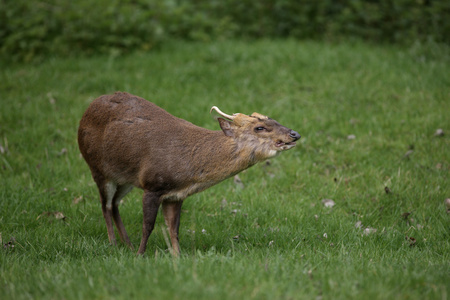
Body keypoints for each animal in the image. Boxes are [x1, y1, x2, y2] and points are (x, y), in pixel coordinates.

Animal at [78, 91, 302, 255]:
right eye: (259, 127)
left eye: (274, 120)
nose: (295, 134)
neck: (187, 171)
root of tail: (87, 109)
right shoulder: (152, 185)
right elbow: (148, 225)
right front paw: (141, 255)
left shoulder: (176, 195)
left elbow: (173, 228)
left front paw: (177, 257)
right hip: (97, 167)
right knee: (106, 205)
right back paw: (114, 244)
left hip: (125, 179)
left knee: (115, 204)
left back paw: (127, 244)